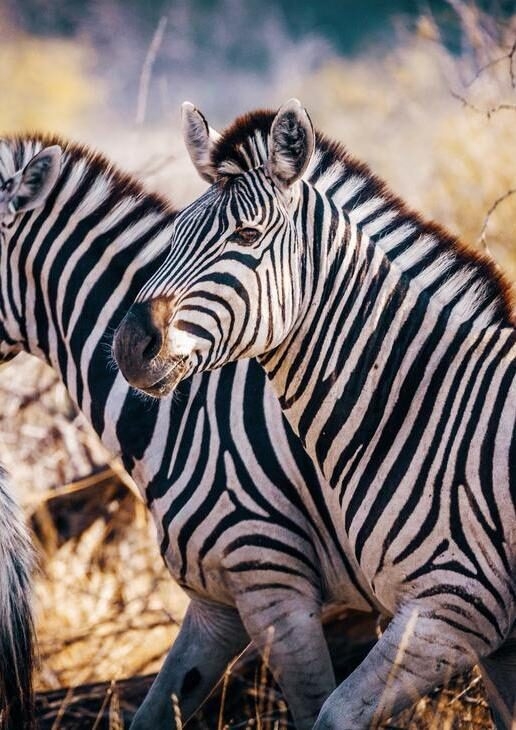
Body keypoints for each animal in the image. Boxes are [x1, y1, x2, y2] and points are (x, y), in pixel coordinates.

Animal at [114, 99, 516, 729]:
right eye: (173, 235)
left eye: (247, 235)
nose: (130, 343)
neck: (427, 409)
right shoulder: (494, 641)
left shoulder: (454, 609)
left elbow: (332, 712)